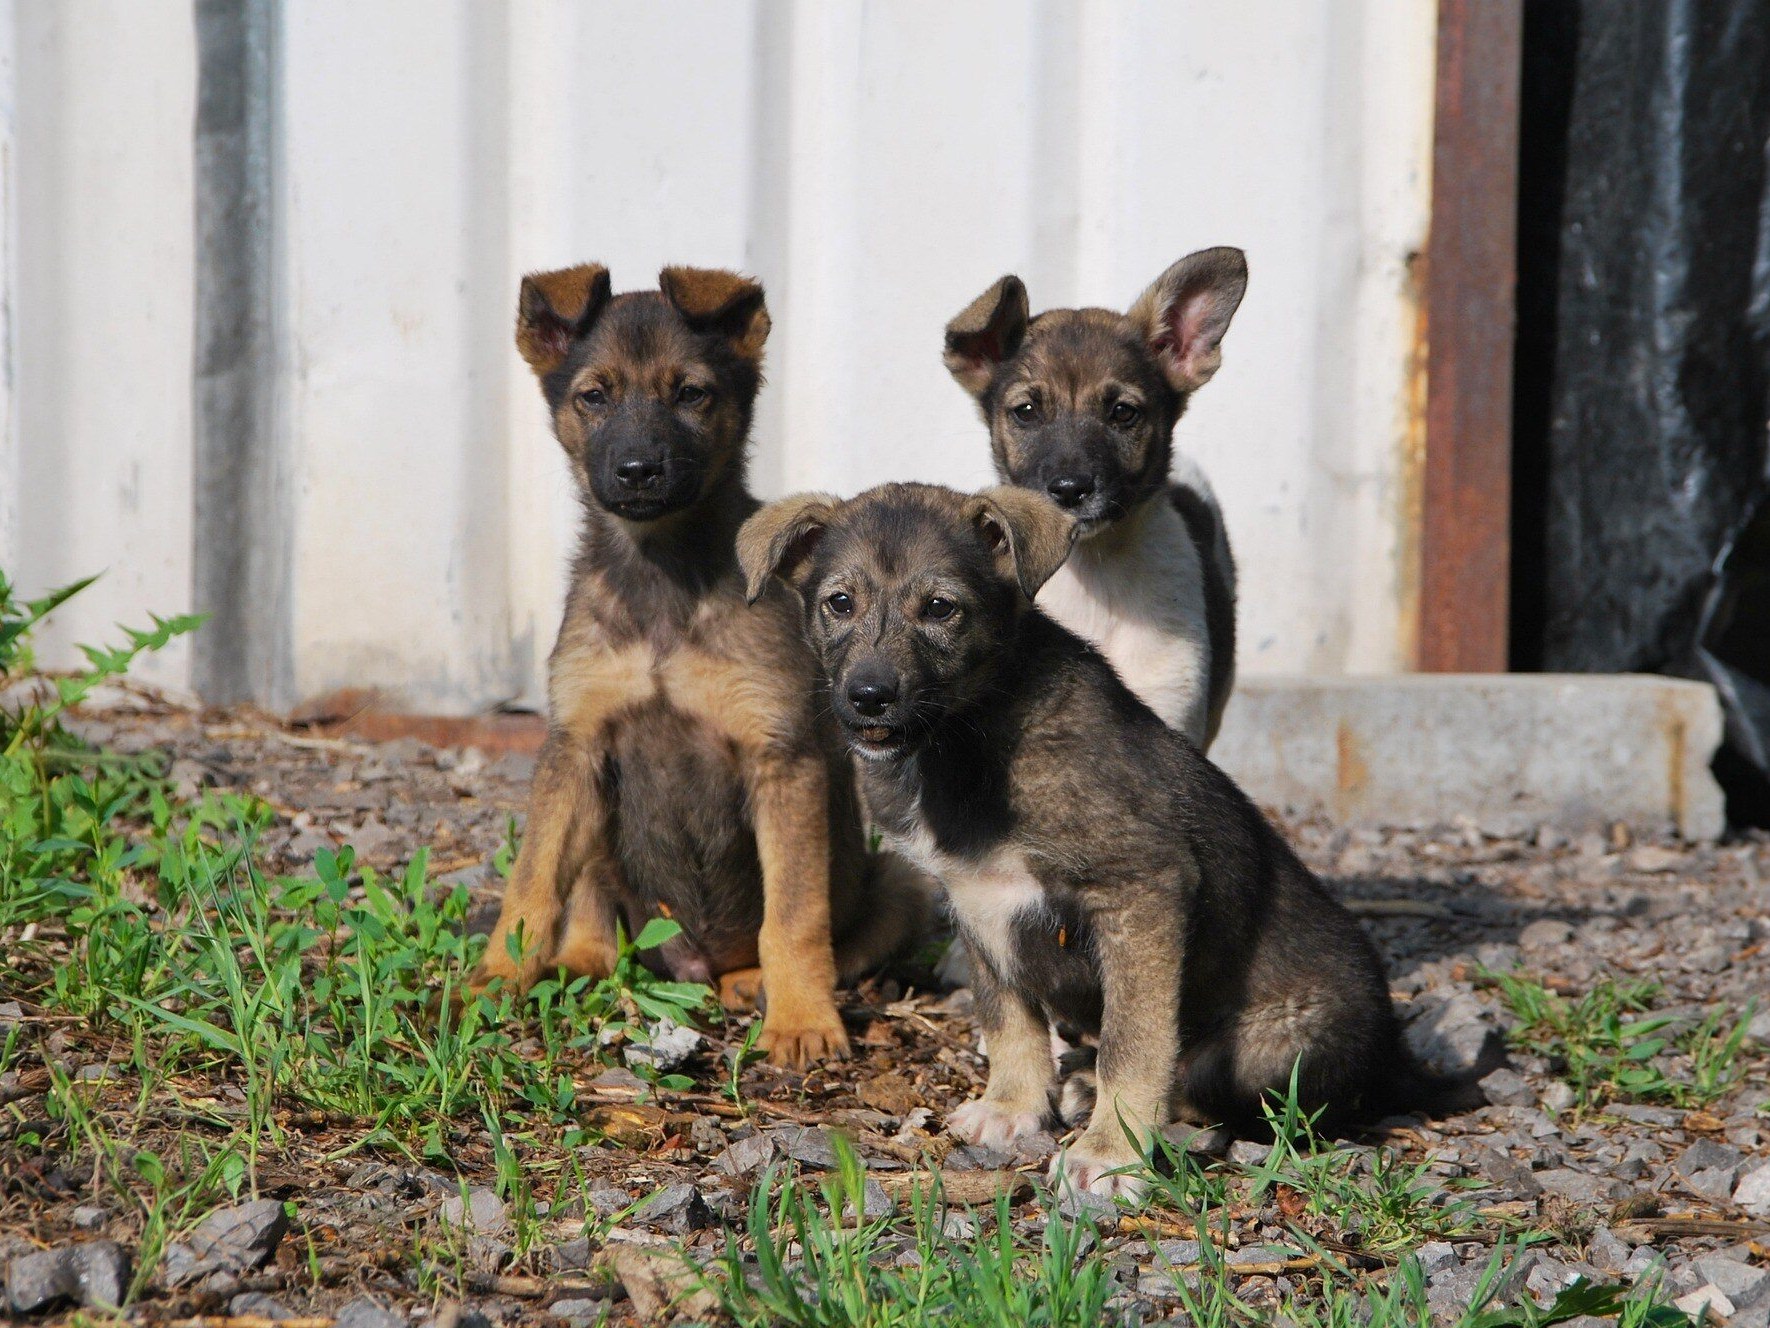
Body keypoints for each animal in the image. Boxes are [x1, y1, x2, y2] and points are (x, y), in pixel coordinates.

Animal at [477, 265, 934, 1069]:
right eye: (592, 396)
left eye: (691, 394)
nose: (637, 471)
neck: (662, 572)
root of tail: (693, 964)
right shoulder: (576, 743)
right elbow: (531, 884)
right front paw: (500, 977)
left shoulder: (782, 758)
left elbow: (794, 915)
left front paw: (802, 1019)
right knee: (592, 898)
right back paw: (580, 962)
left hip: (897, 881)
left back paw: (753, 983)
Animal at [739, 485, 1458, 1196]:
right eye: (839, 603)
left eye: (941, 609)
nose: (868, 697)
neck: (965, 739)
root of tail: (1396, 1055)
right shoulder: (973, 899)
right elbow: (1008, 1018)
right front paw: (1012, 1106)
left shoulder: (1143, 888)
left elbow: (1133, 1044)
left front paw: (1112, 1153)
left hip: (1273, 1049)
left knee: (1206, 1081)